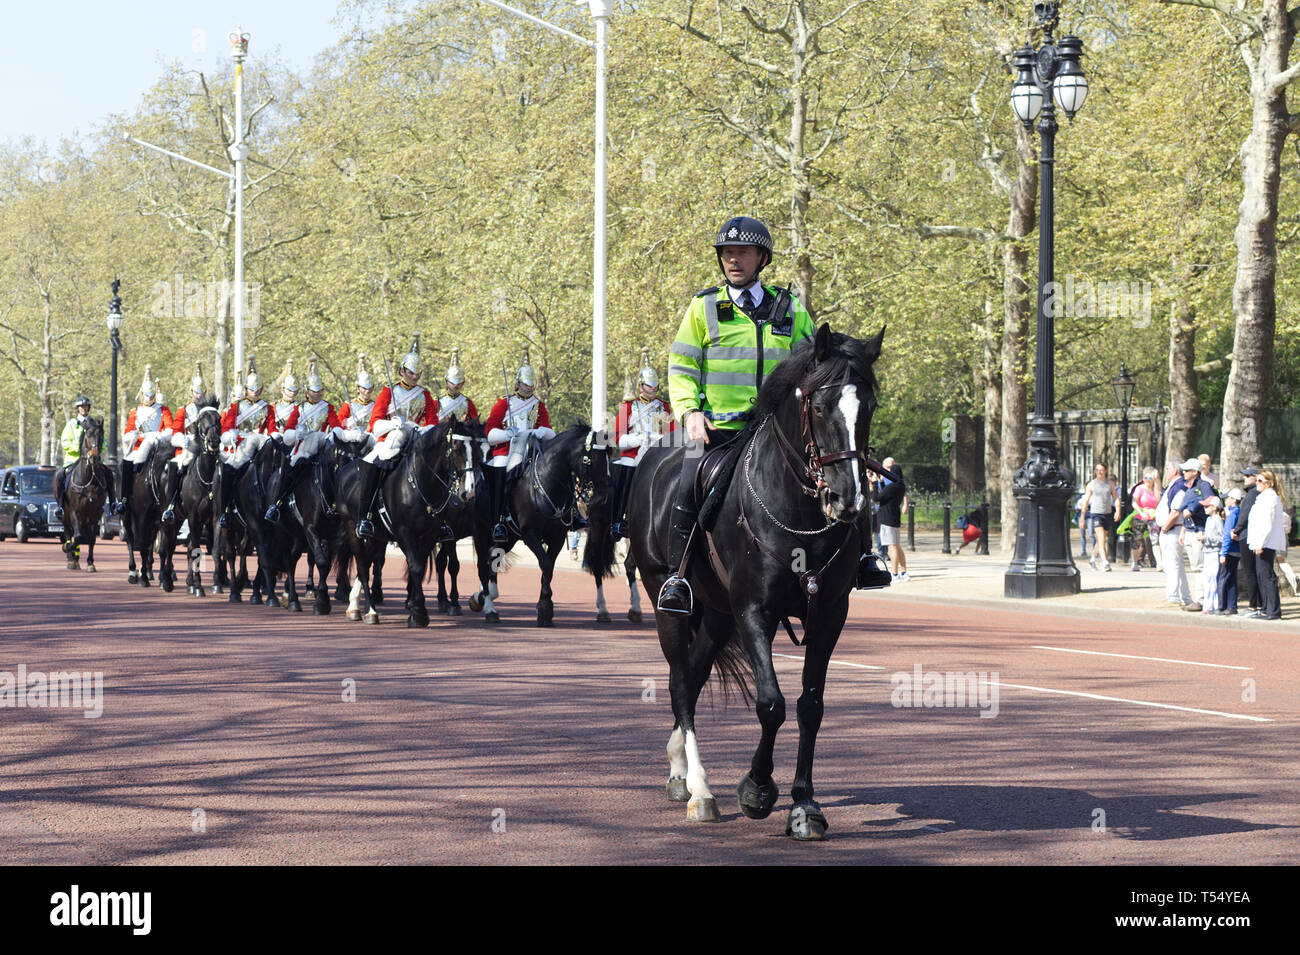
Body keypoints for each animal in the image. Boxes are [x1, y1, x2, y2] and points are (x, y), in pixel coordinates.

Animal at [58, 415, 109, 566]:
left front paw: (90, 562)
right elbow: (78, 537)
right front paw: (68, 548)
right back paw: (71, 558)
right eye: (87, 435)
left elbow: (90, 538)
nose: (94, 457)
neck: (88, 478)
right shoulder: (75, 510)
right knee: (68, 533)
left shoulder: (95, 512)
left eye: (101, 435)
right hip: (65, 515)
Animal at [465, 423, 611, 628]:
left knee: (492, 557)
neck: (548, 483)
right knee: (482, 565)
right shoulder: (530, 534)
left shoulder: (557, 538)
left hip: (508, 538)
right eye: (592, 459)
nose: (603, 498)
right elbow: (546, 563)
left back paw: (482, 597)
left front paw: (544, 610)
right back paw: (489, 609)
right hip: (481, 533)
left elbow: (548, 568)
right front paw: (545, 607)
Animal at [626, 324, 883, 841]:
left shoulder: (828, 614)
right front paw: (758, 790)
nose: (848, 500)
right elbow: (771, 704)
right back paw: (701, 790)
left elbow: (810, 706)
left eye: (868, 407)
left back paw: (680, 770)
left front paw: (804, 805)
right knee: (680, 682)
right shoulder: (753, 611)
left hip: (716, 614)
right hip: (670, 604)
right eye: (820, 407)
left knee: (695, 674)